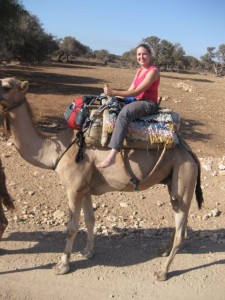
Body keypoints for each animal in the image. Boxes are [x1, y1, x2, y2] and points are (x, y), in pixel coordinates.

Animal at [0, 78, 204, 282]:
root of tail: (191, 154)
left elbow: (71, 227)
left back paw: (162, 272)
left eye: (7, 87)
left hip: (184, 174)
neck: (56, 152)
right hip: (174, 180)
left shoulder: (73, 189)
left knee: (181, 230)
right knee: (180, 220)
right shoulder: (84, 189)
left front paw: (62, 265)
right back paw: (163, 250)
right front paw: (87, 252)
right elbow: (90, 219)